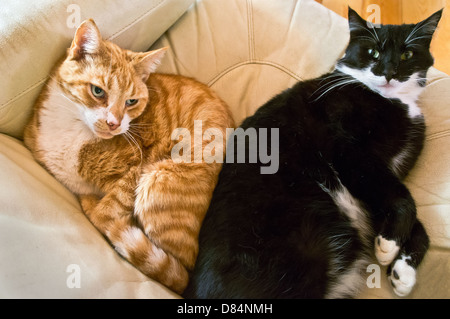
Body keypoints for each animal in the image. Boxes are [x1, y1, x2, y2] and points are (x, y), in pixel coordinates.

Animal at [23, 19, 236, 296]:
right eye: (98, 91)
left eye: (131, 101)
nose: (114, 124)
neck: (72, 128)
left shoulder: (138, 167)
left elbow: (106, 212)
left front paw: (99, 210)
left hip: (158, 178)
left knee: (176, 268)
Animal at [184, 8, 442, 300]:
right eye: (373, 52)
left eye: (407, 54)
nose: (389, 72)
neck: (395, 101)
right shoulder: (352, 155)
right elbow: (404, 199)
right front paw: (388, 246)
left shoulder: (376, 184)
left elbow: (415, 221)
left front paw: (402, 271)